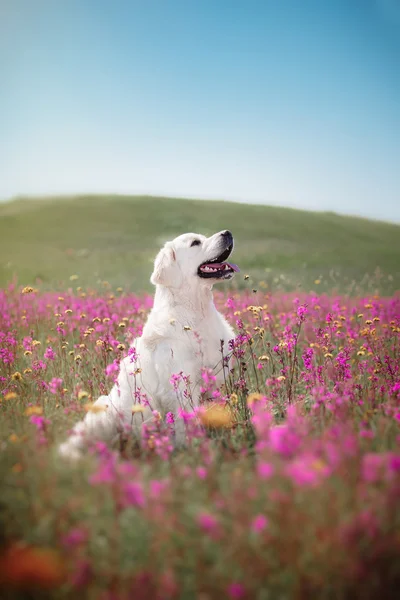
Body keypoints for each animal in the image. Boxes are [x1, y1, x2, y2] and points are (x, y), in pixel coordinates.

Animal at [58, 230, 239, 460]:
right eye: (195, 243)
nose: (228, 233)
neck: (195, 312)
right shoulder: (180, 386)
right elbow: (186, 422)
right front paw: (193, 450)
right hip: (104, 411)